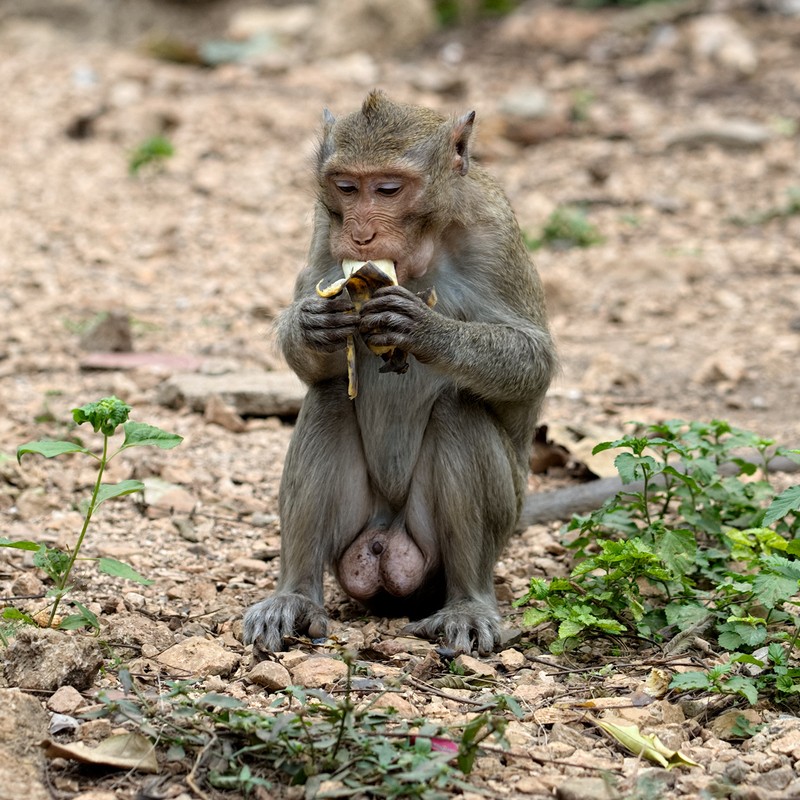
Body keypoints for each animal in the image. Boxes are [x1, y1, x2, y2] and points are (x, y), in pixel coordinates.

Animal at [244, 92, 556, 656]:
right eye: (347, 186)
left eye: (388, 188)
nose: (360, 233)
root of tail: (387, 535)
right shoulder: (325, 228)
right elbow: (315, 364)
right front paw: (312, 324)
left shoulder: (495, 232)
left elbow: (533, 359)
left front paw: (426, 330)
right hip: (358, 528)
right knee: (329, 396)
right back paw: (295, 596)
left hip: (478, 530)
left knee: (459, 408)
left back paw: (468, 604)